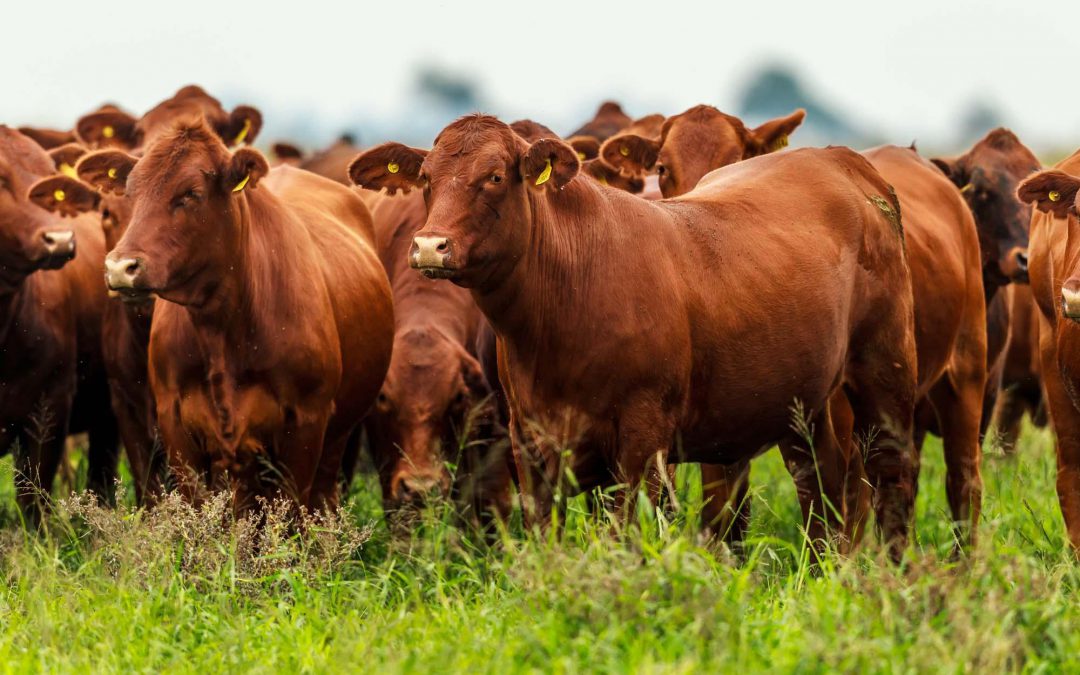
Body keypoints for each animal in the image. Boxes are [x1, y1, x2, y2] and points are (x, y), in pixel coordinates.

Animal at [77, 118, 397, 514]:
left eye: (191, 193)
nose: (121, 267)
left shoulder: (307, 424)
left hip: (337, 438)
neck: (222, 329)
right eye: (131, 192)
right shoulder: (175, 424)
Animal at [347, 114, 920, 557]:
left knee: (893, 479)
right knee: (821, 492)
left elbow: (626, 537)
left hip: (885, 375)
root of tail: (843, 161)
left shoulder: (642, 440)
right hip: (807, 406)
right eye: (426, 177)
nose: (429, 246)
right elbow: (545, 538)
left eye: (493, 176)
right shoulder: (529, 439)